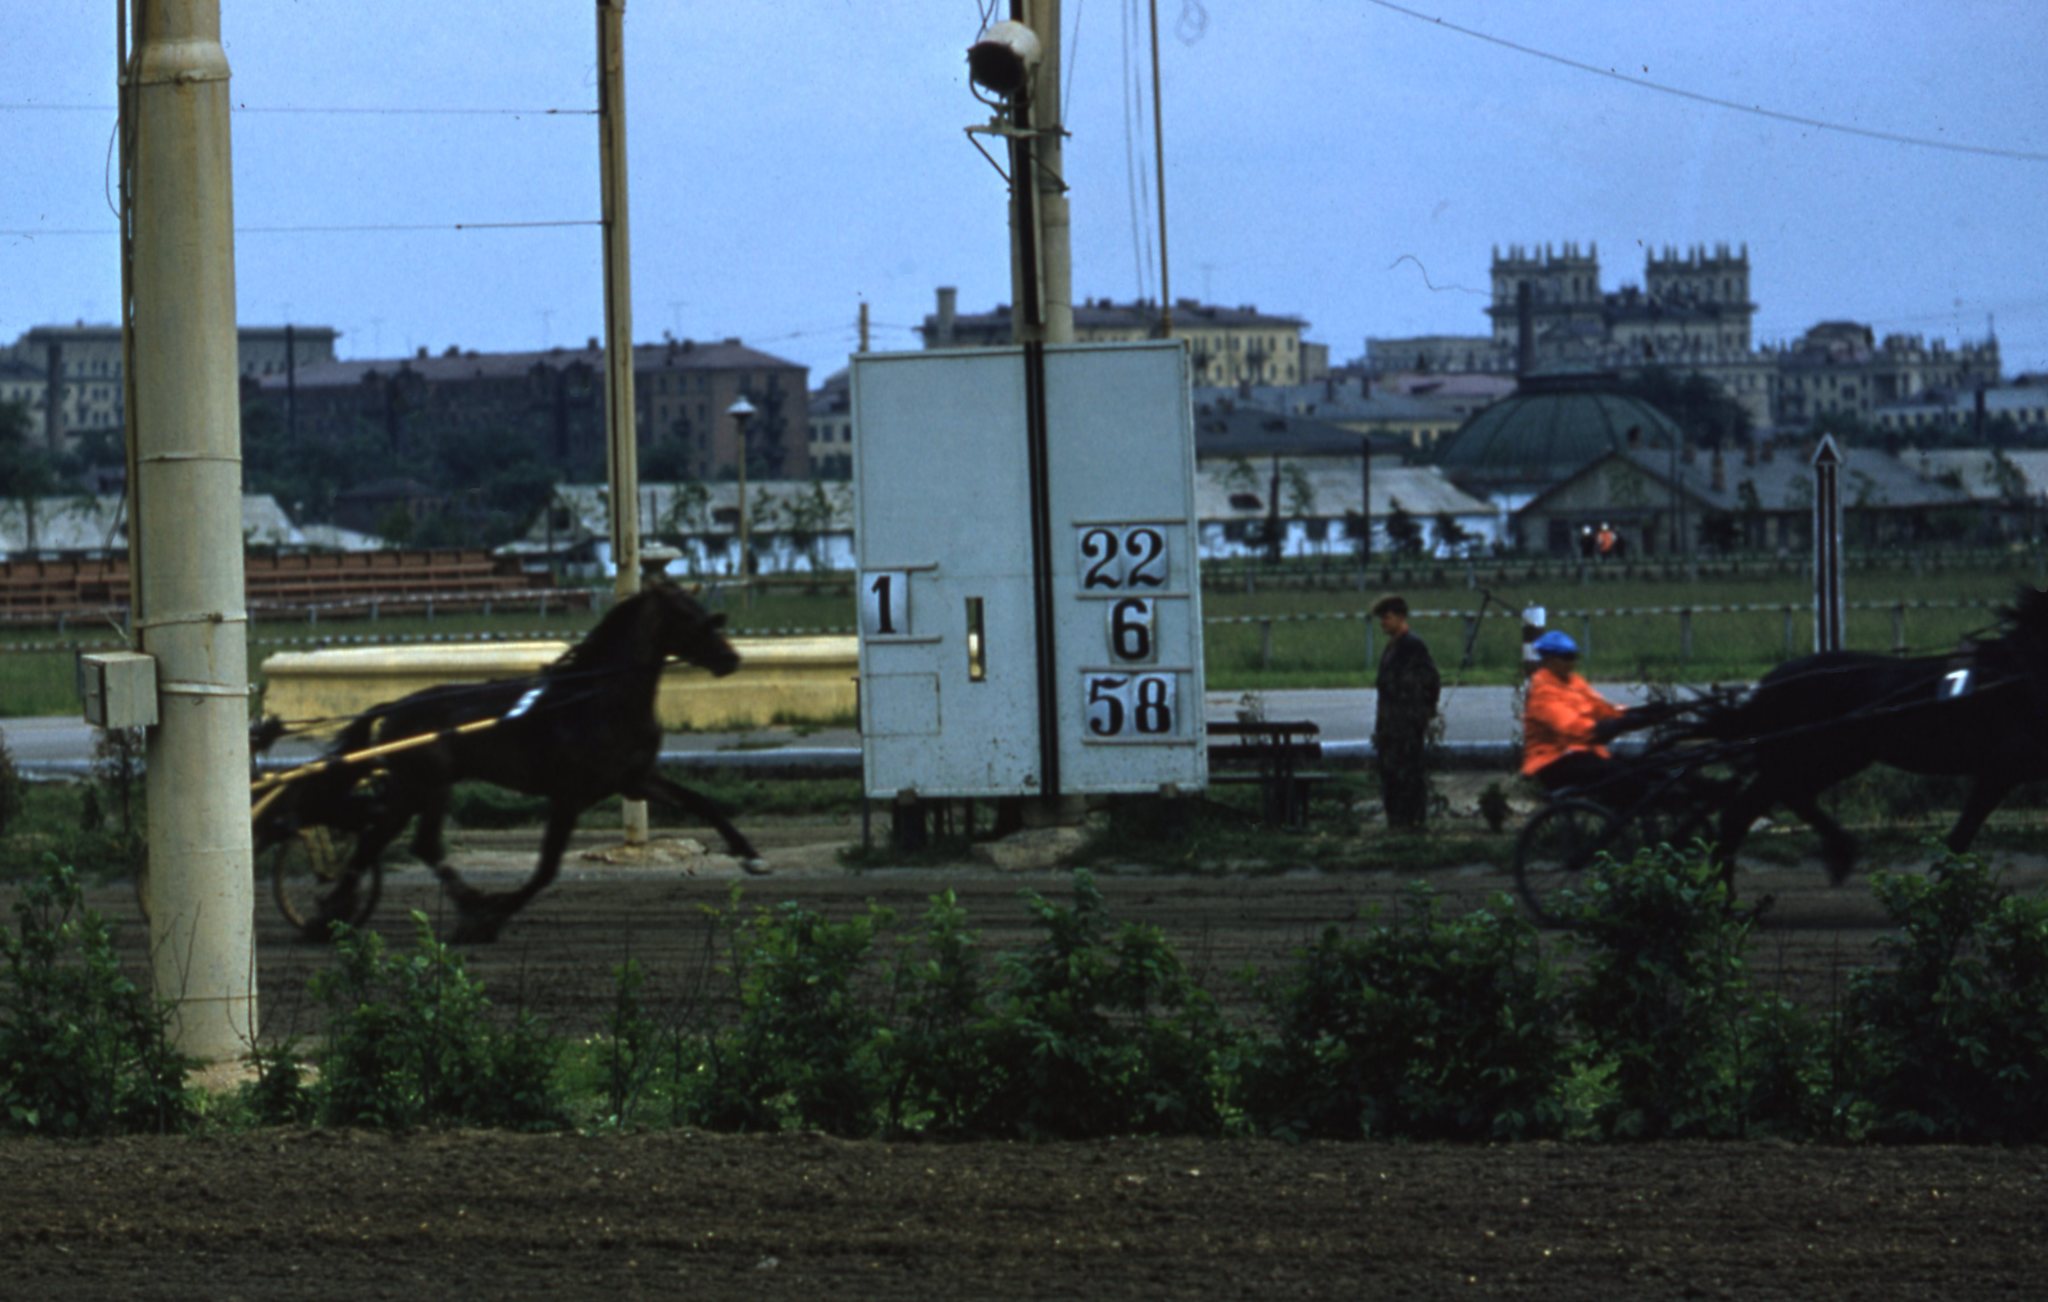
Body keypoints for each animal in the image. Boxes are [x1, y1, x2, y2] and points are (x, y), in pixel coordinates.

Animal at [256, 585, 765, 941]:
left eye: (708, 614)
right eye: (689, 618)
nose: (731, 658)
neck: (595, 697)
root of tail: (396, 706)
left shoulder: (635, 778)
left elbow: (703, 803)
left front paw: (749, 854)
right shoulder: (569, 795)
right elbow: (545, 869)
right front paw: (490, 918)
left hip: (418, 789)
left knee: (394, 843)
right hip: (424, 785)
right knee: (398, 844)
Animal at [1687, 581, 2048, 880]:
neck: (2018, 673)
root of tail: (1768, 683)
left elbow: (1959, 838)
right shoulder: (2000, 769)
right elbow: (1959, 838)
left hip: (1830, 760)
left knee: (1780, 801)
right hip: (1812, 757)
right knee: (1745, 812)